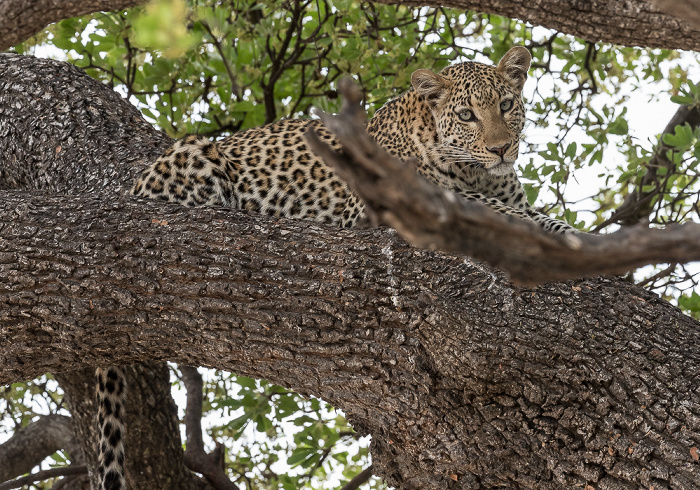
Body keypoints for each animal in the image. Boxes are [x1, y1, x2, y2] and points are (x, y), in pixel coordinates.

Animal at [94, 47, 576, 490]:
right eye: (466, 115)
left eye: (507, 105)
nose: (501, 148)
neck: (478, 173)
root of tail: (134, 185)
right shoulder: (376, 207)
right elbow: (483, 208)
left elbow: (530, 215)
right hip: (198, 152)